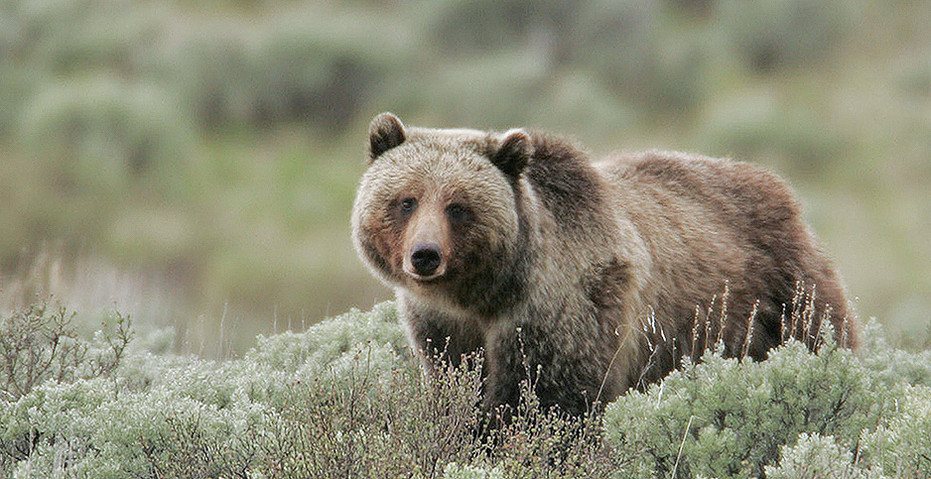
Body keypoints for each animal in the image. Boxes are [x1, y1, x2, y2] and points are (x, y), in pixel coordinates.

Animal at [352, 112, 860, 416]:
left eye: (458, 207)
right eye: (406, 200)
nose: (425, 255)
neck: (484, 293)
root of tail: (781, 189)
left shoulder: (565, 307)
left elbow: (552, 398)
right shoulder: (443, 326)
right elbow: (459, 384)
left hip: (778, 296)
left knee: (818, 335)